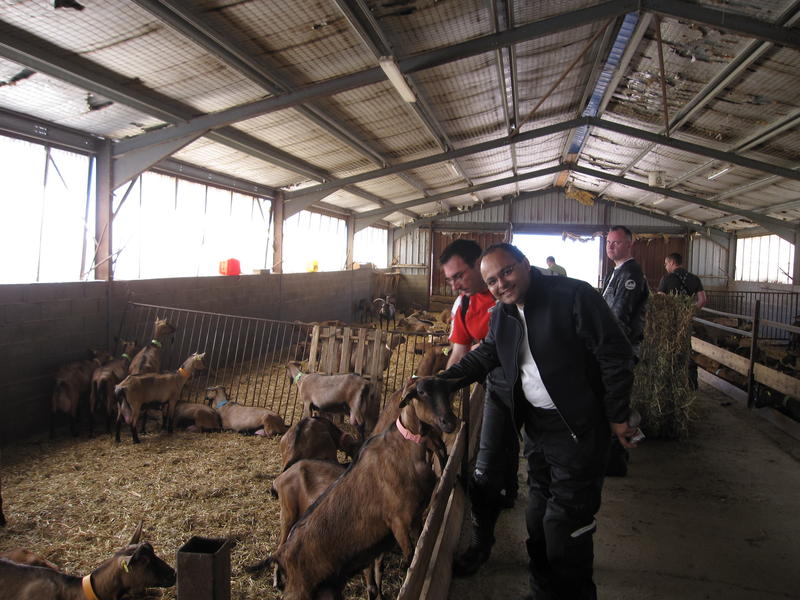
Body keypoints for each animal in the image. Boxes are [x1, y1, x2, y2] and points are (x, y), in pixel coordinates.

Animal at [245, 376, 461, 600]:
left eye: (446, 390)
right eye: (422, 393)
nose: (450, 422)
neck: (405, 451)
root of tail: (282, 555)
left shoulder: (416, 517)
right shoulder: (398, 521)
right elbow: (410, 559)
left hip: (327, 588)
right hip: (296, 565)